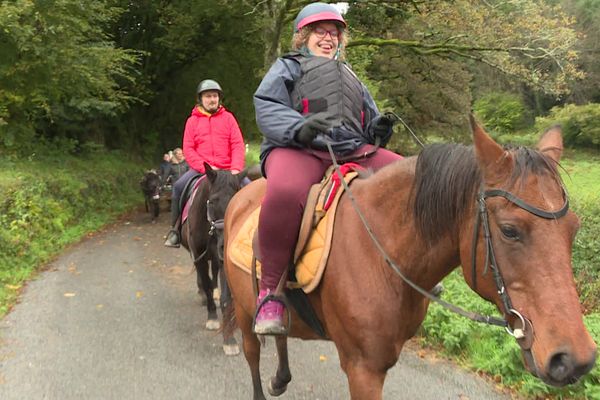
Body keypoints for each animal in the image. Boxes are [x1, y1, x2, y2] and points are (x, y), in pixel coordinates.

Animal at [224, 120, 596, 400]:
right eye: (509, 230)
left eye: (574, 229)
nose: (574, 359)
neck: (382, 252)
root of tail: (242, 194)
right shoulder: (363, 370)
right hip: (244, 310)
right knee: (253, 352)